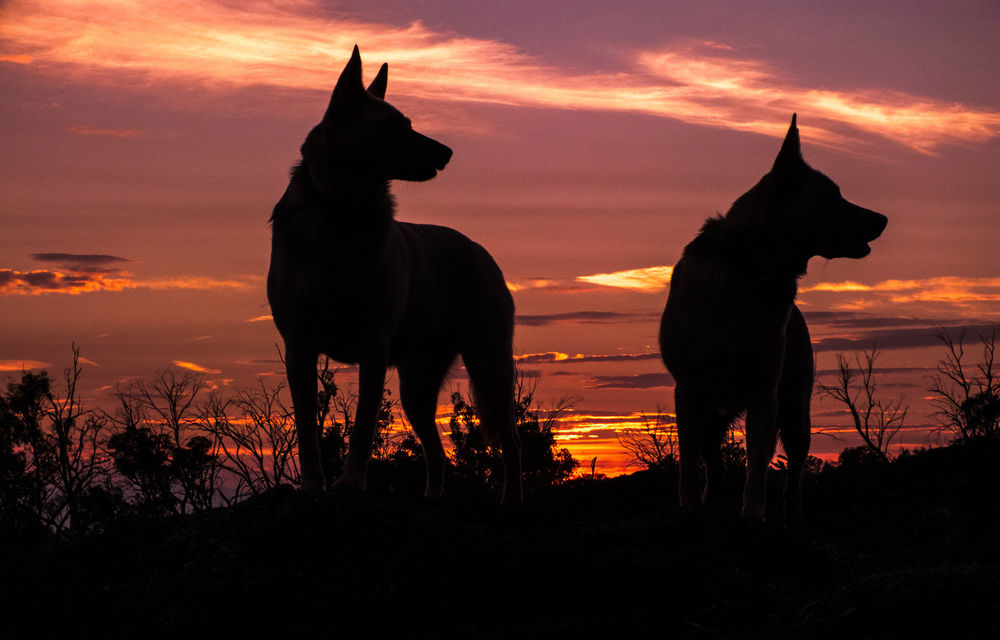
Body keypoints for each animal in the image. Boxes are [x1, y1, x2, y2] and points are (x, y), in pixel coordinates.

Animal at [272, 46, 524, 504]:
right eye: (393, 127)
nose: (447, 152)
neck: (343, 217)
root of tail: (481, 252)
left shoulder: (373, 345)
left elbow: (362, 427)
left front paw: (351, 482)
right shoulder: (300, 347)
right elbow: (306, 431)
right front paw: (314, 486)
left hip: (488, 363)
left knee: (510, 443)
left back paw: (511, 498)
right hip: (417, 386)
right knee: (437, 453)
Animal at [660, 116, 888, 520]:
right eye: (832, 196)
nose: (884, 219)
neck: (751, 268)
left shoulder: (764, 392)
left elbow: (755, 470)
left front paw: (753, 514)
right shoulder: (688, 391)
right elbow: (688, 465)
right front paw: (689, 506)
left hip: (796, 412)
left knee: (791, 472)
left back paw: (790, 509)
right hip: (715, 416)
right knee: (713, 464)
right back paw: (710, 499)